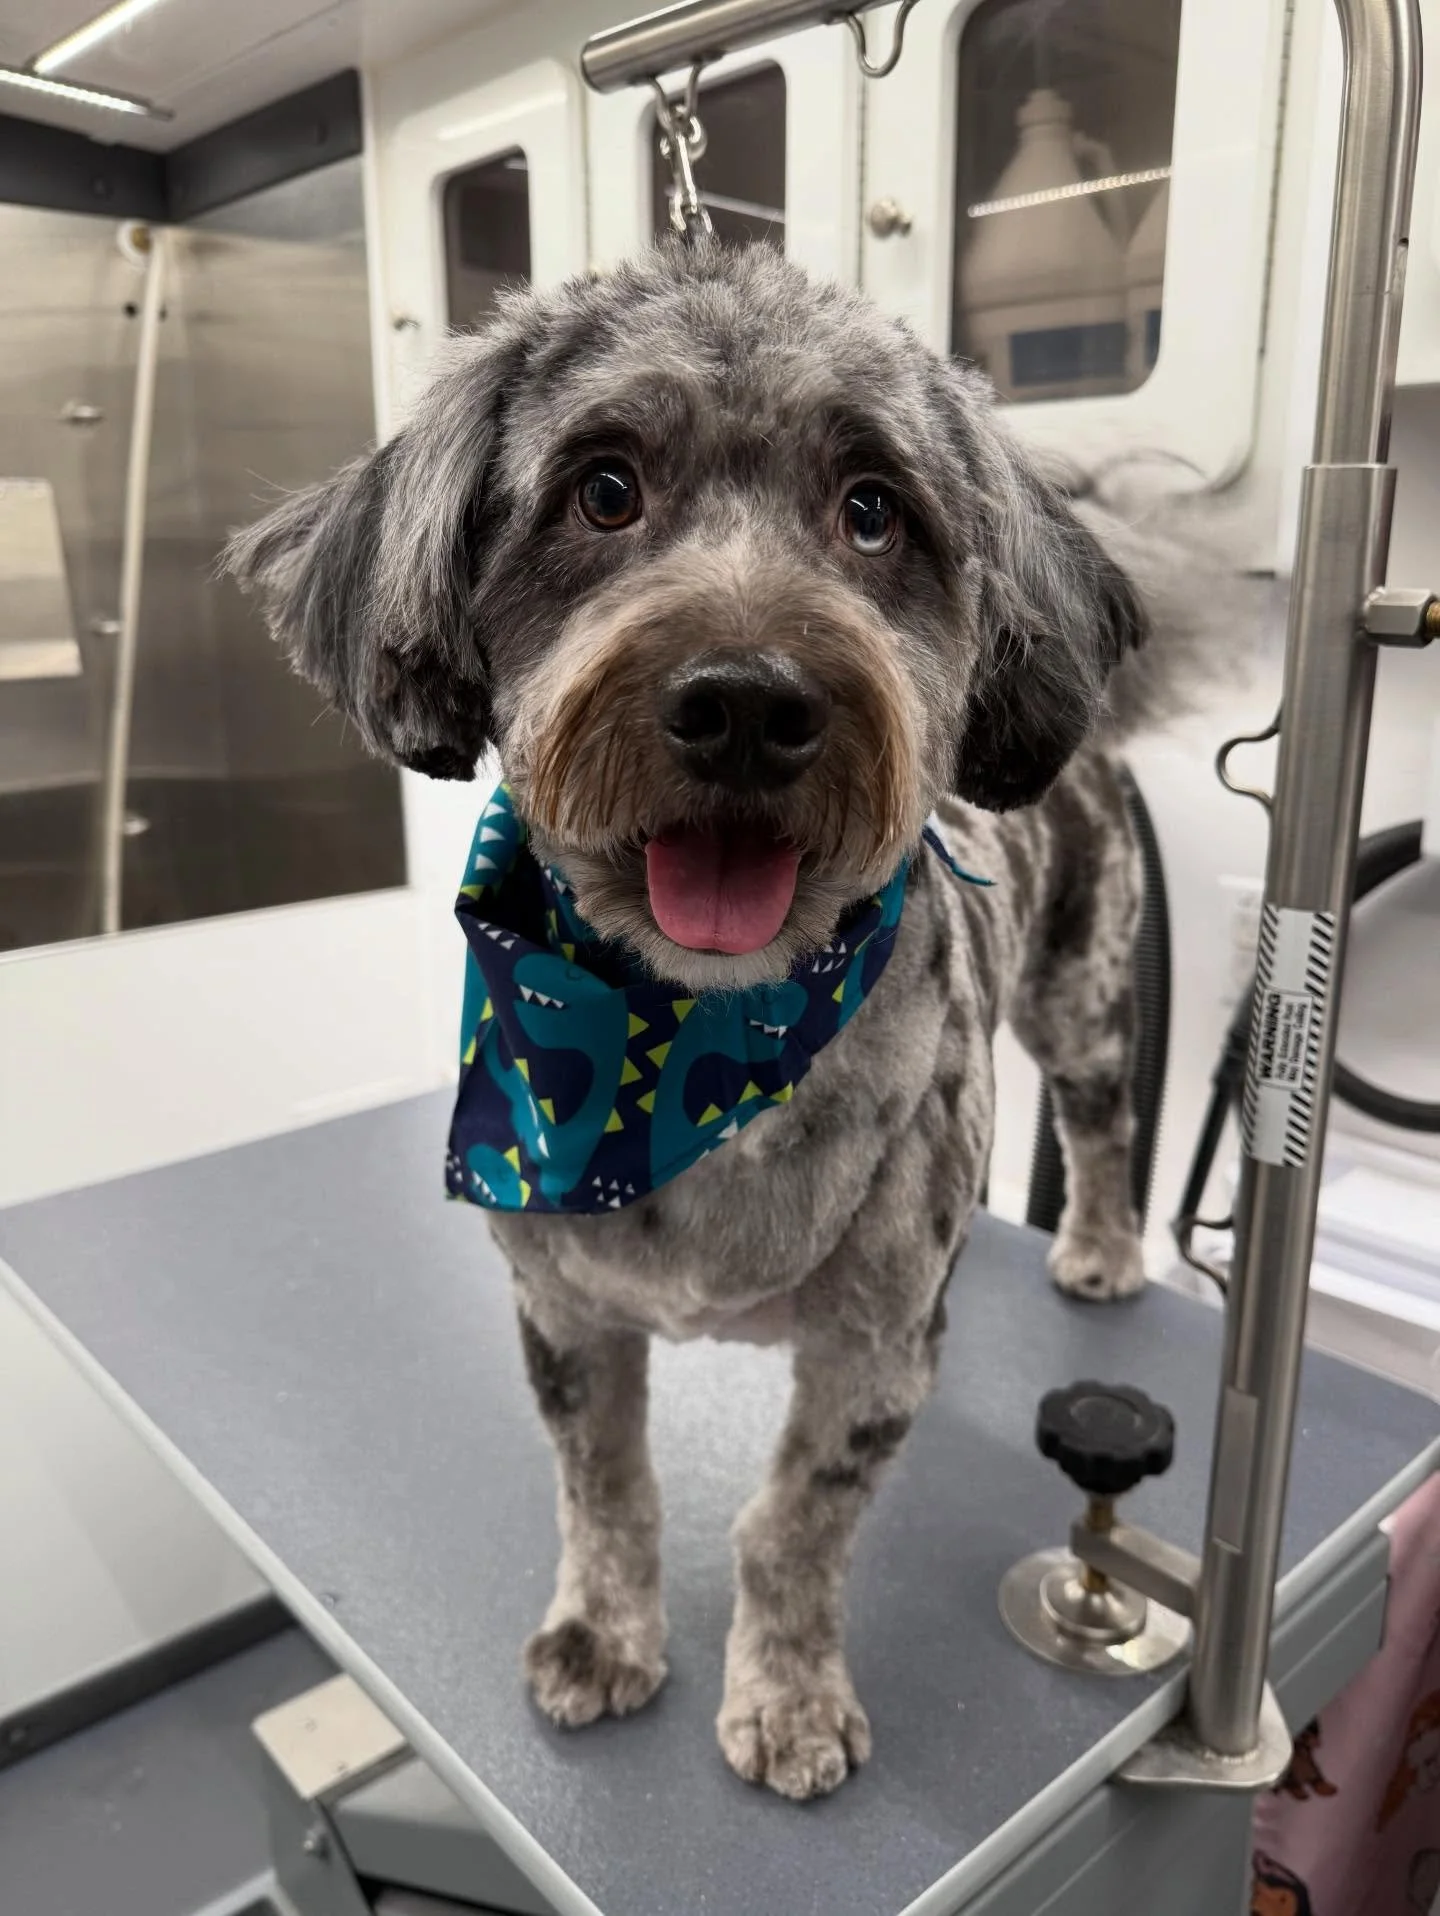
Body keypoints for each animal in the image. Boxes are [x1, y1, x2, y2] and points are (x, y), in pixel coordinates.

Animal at [226, 242, 1222, 1802]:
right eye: (603, 489)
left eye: (873, 509)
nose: (748, 702)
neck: (676, 1046)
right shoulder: (566, 1310)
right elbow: (606, 1488)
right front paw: (602, 1633)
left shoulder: (876, 1345)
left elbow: (791, 1528)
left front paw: (793, 1696)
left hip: (1087, 984)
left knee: (1105, 1114)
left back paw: (1106, 1250)